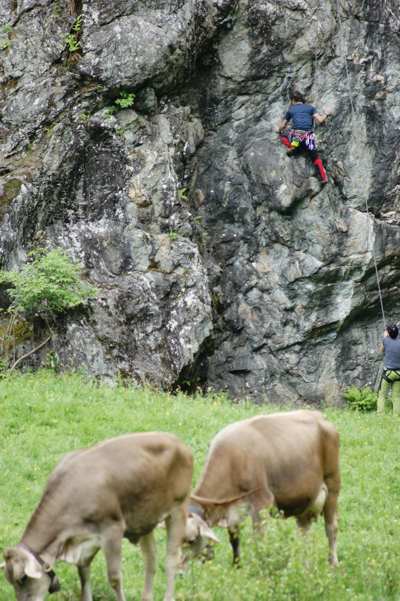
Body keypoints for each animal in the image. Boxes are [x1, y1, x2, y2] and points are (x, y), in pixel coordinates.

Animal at [0, 432, 194, 600]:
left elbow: (114, 578)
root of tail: (178, 441)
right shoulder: (86, 539)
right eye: (9, 581)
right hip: (146, 519)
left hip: (178, 508)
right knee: (150, 560)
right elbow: (83, 573)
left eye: (22, 578)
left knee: (171, 559)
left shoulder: (112, 529)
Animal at [186, 410, 340, 564]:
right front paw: (237, 565)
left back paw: (333, 563)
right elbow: (234, 539)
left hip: (332, 485)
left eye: (192, 539)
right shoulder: (233, 510)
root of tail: (318, 415)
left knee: (331, 528)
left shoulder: (262, 502)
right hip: (305, 500)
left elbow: (259, 540)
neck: (232, 462)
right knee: (304, 532)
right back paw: (304, 563)